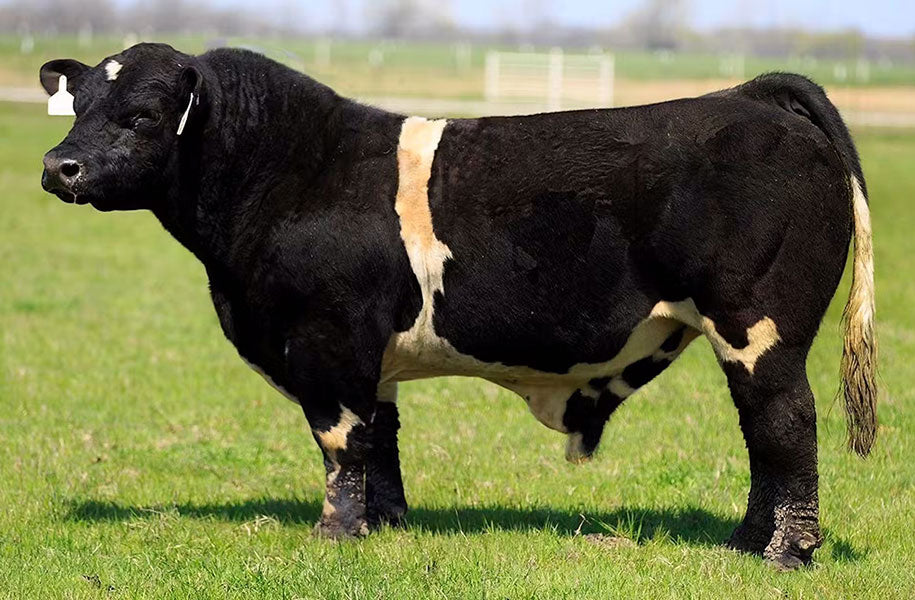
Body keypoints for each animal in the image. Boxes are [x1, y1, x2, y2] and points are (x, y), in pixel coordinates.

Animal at [39, 43, 876, 570]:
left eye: (143, 114)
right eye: (77, 106)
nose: (58, 166)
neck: (287, 174)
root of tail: (749, 96)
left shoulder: (327, 341)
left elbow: (340, 442)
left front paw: (333, 537)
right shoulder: (367, 356)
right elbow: (380, 439)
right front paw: (385, 526)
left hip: (759, 328)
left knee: (785, 426)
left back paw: (782, 555)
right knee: (761, 433)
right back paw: (741, 544)